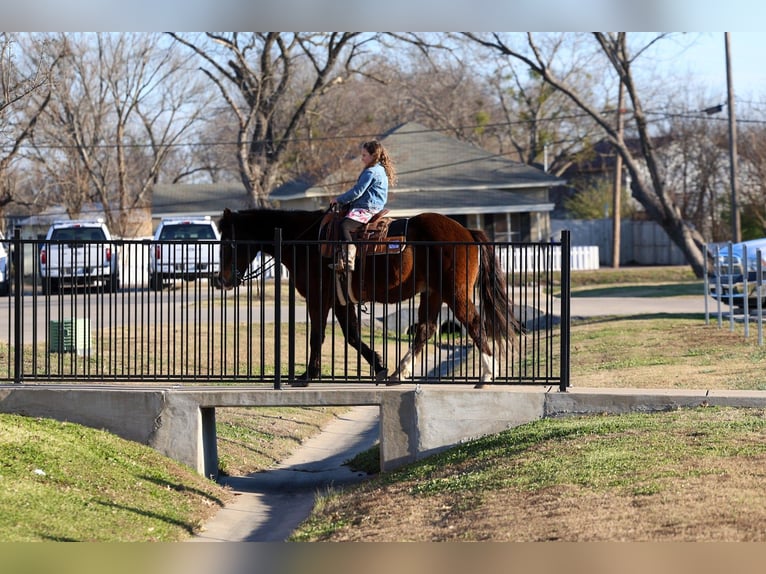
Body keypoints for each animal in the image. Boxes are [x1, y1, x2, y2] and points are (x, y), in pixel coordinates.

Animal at [216, 208, 521, 388]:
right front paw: (381, 367)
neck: (305, 240)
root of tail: (466, 231)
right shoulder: (341, 301)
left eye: (228, 242)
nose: (222, 279)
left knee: (474, 324)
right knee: (426, 329)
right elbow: (351, 335)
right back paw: (399, 373)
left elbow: (318, 336)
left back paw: (486, 374)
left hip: (453, 292)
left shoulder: (319, 298)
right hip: (433, 293)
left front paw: (306, 376)